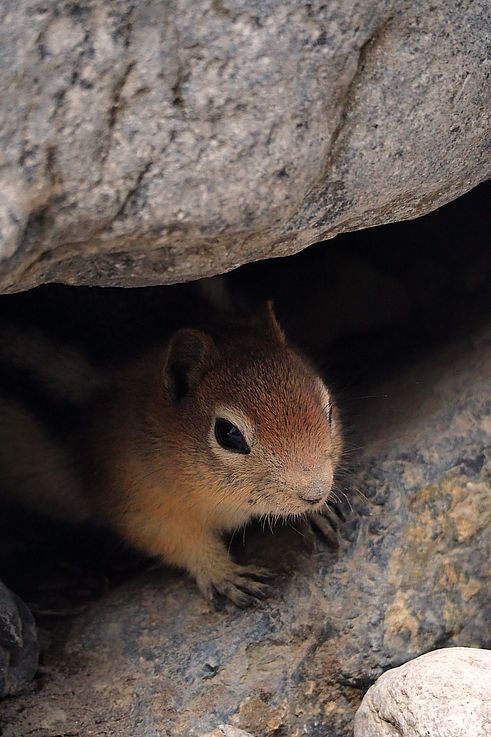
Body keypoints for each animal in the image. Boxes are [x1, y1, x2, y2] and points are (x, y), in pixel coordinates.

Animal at [0, 296, 342, 606]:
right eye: (228, 434)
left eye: (328, 410)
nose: (315, 493)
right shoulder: (138, 499)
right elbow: (175, 539)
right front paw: (223, 573)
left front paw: (318, 513)